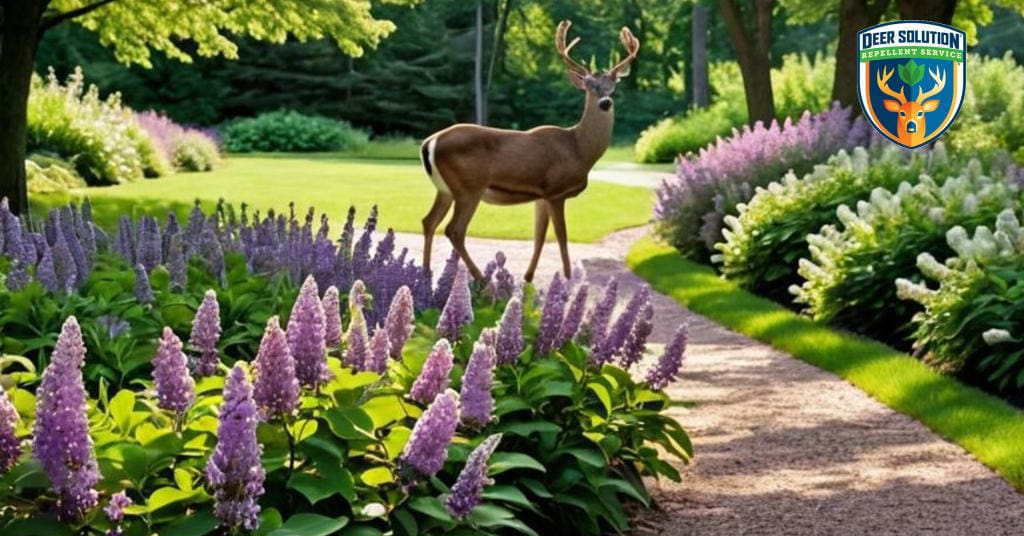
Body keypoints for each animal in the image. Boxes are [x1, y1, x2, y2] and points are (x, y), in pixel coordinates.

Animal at [419, 20, 640, 282]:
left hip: (445, 190)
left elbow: (539, 236)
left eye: (612, 87)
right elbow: (562, 236)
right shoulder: (556, 190)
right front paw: (567, 278)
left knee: (428, 221)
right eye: (589, 87)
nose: (605, 102)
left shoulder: (541, 195)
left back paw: (425, 275)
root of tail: (430, 142)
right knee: (454, 229)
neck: (580, 149)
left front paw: (528, 276)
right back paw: (481, 279)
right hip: (469, 187)